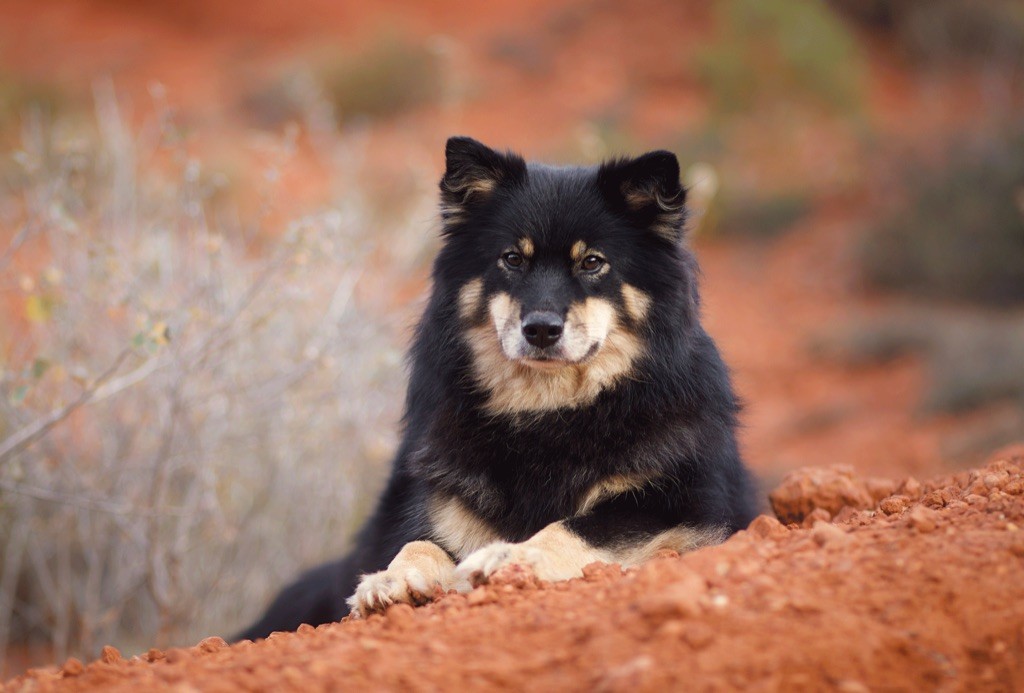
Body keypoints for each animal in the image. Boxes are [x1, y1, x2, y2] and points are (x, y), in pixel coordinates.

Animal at [235, 138, 757, 638]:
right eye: (512, 259)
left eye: (592, 262)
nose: (541, 329)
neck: (548, 412)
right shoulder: (441, 503)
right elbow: (419, 541)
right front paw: (390, 580)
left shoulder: (680, 505)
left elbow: (576, 528)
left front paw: (509, 557)